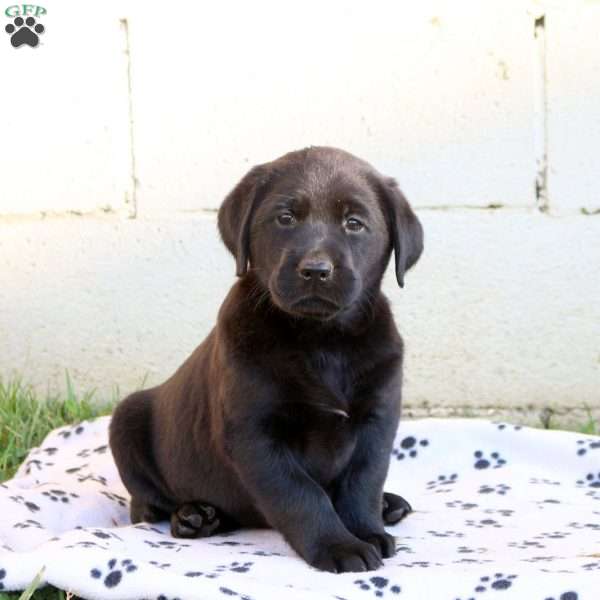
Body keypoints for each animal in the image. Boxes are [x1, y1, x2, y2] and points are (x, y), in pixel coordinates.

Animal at [110, 145, 424, 572]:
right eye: (285, 218)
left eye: (354, 223)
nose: (315, 270)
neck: (321, 340)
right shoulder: (255, 436)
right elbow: (302, 495)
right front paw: (339, 546)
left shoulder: (377, 422)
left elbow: (363, 482)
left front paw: (366, 530)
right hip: (127, 420)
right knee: (145, 507)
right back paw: (193, 516)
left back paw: (389, 505)